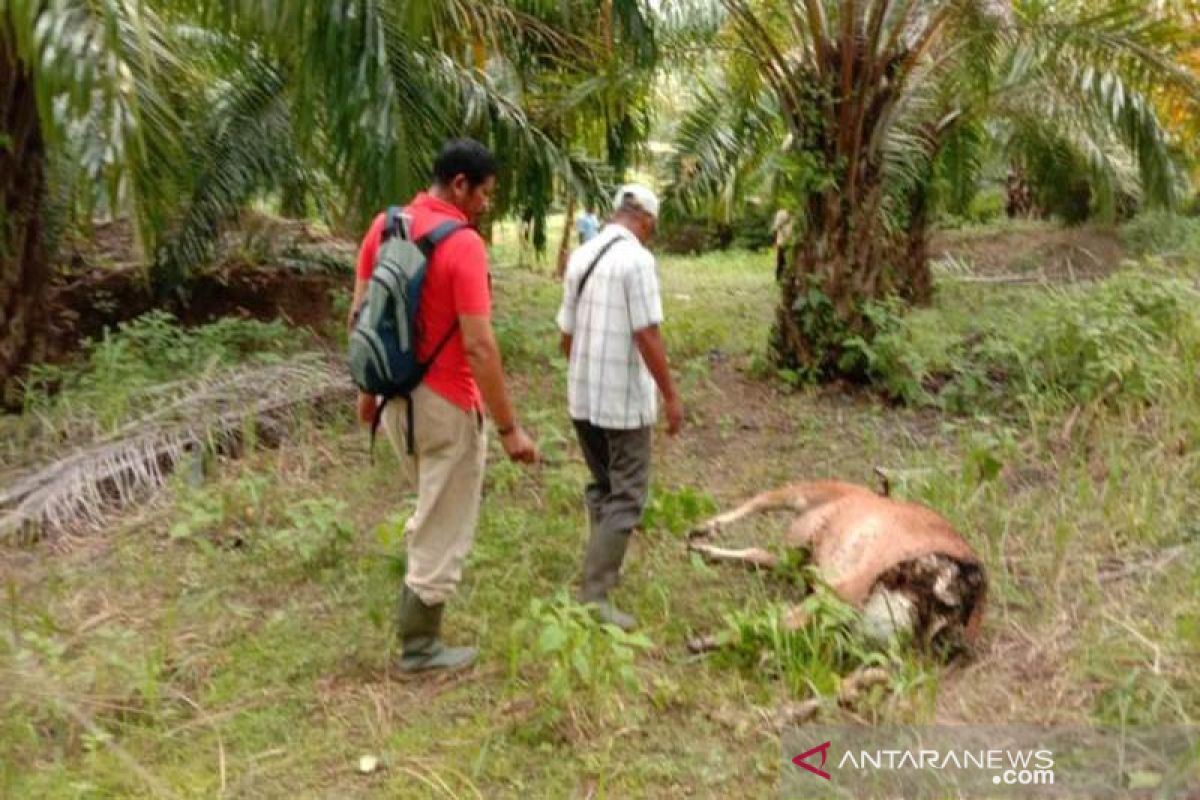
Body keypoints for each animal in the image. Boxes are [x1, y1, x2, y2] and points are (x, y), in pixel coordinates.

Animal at [686, 479, 984, 652]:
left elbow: (779, 623)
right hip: (807, 502)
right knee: (761, 503)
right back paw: (703, 531)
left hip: (800, 558)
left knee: (758, 550)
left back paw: (703, 546)